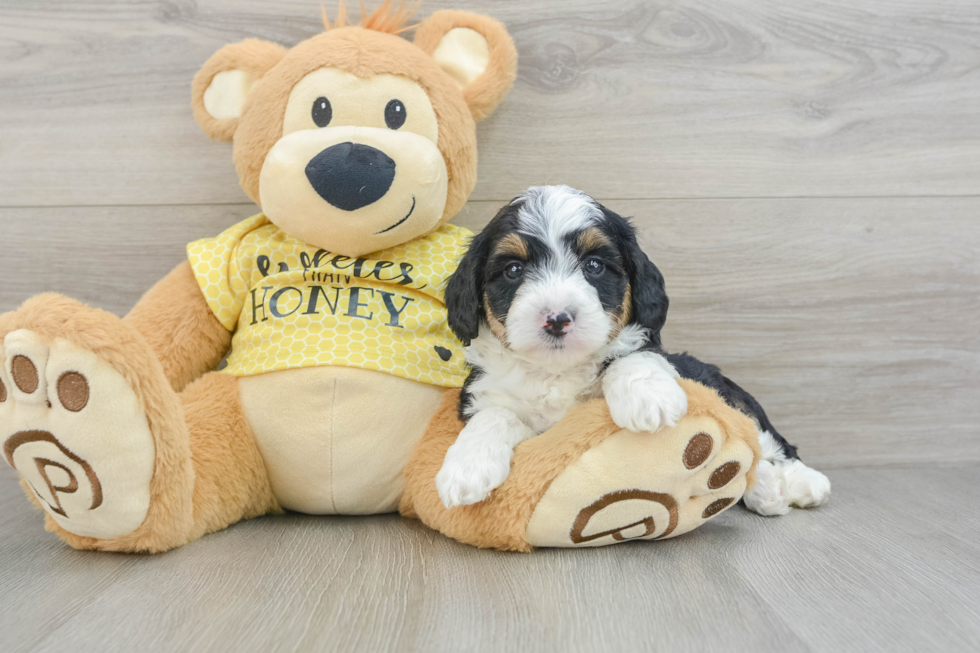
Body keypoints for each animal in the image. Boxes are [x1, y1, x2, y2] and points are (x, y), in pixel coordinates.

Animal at [440, 185, 832, 516]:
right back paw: (768, 489)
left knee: (769, 442)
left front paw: (649, 399)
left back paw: (802, 483)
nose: (557, 319)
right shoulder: (484, 396)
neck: (556, 370)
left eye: (594, 266)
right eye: (513, 269)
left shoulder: (653, 355)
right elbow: (494, 415)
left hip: (732, 396)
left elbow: (631, 357)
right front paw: (465, 468)